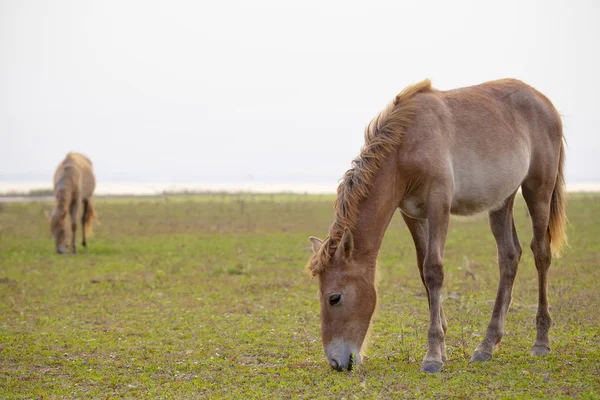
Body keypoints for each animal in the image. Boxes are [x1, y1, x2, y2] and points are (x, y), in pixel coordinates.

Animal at [308, 79, 564, 374]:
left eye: (334, 298)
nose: (336, 362)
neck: (404, 146)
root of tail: (544, 102)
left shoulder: (438, 205)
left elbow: (434, 270)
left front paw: (432, 356)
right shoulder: (412, 214)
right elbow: (423, 271)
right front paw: (441, 348)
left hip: (538, 190)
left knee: (541, 253)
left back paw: (541, 342)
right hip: (502, 200)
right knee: (509, 256)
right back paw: (486, 346)